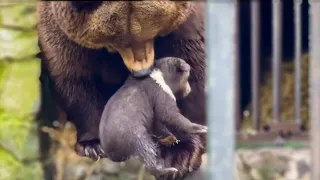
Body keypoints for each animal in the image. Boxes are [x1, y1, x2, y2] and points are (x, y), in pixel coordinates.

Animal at [37, 1, 205, 180]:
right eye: (114, 40)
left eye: (150, 33)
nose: (141, 71)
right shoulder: (62, 31)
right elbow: (74, 76)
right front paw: (93, 145)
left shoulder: (188, 24)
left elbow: (194, 66)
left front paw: (179, 154)